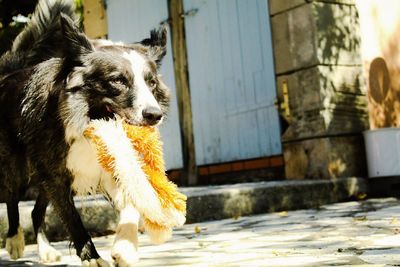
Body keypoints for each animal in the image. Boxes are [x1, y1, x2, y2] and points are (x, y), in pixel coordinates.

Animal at [0, 0, 170, 266]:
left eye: (151, 82)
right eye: (118, 81)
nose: (154, 115)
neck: (89, 123)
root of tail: (10, 74)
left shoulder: (105, 167)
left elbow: (131, 204)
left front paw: (125, 248)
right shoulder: (55, 174)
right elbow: (72, 219)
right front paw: (92, 257)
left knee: (37, 212)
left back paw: (45, 250)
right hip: (17, 164)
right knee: (11, 195)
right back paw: (15, 240)